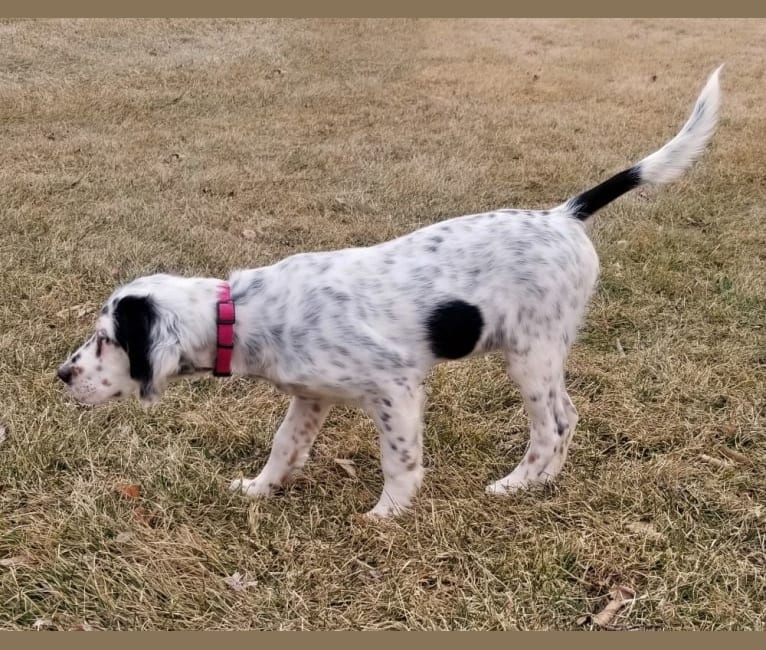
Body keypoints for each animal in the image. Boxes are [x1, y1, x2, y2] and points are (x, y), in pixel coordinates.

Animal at [60, 67, 728, 516]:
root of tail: (564, 214)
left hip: (531, 353)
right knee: (568, 418)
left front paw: (387, 515)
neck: (244, 313)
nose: (62, 375)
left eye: (105, 340)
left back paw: (518, 483)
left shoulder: (396, 388)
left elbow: (400, 459)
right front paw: (258, 488)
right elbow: (284, 447)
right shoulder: (311, 398)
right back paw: (542, 484)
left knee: (556, 423)